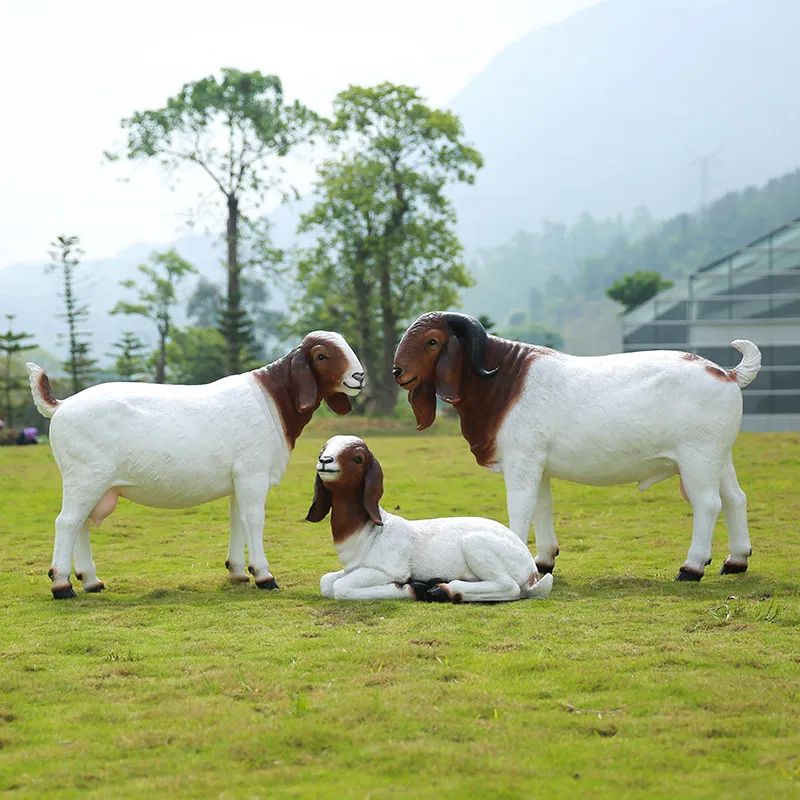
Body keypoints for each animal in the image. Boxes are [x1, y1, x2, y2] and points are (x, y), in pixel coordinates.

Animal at [27, 331, 364, 598]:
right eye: (321, 355)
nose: (359, 377)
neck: (272, 402)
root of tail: (62, 405)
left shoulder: (237, 480)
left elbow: (237, 519)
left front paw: (238, 572)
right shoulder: (252, 474)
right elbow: (254, 519)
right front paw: (265, 576)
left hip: (92, 484)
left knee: (81, 523)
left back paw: (91, 581)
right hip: (86, 477)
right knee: (67, 522)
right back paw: (62, 586)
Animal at [305, 435, 554, 602]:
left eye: (357, 458)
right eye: (321, 451)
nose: (325, 460)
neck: (370, 531)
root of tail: (531, 569)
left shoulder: (385, 571)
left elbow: (340, 588)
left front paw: (412, 588)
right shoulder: (353, 568)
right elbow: (326, 582)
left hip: (476, 545)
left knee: (509, 587)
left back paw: (442, 590)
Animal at [392, 312, 762, 582]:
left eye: (432, 341)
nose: (398, 371)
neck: (505, 380)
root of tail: (726, 373)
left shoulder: (522, 460)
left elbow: (520, 507)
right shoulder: (539, 466)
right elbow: (542, 506)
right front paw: (543, 560)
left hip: (697, 457)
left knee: (708, 503)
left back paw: (691, 567)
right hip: (719, 456)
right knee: (735, 498)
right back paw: (736, 561)